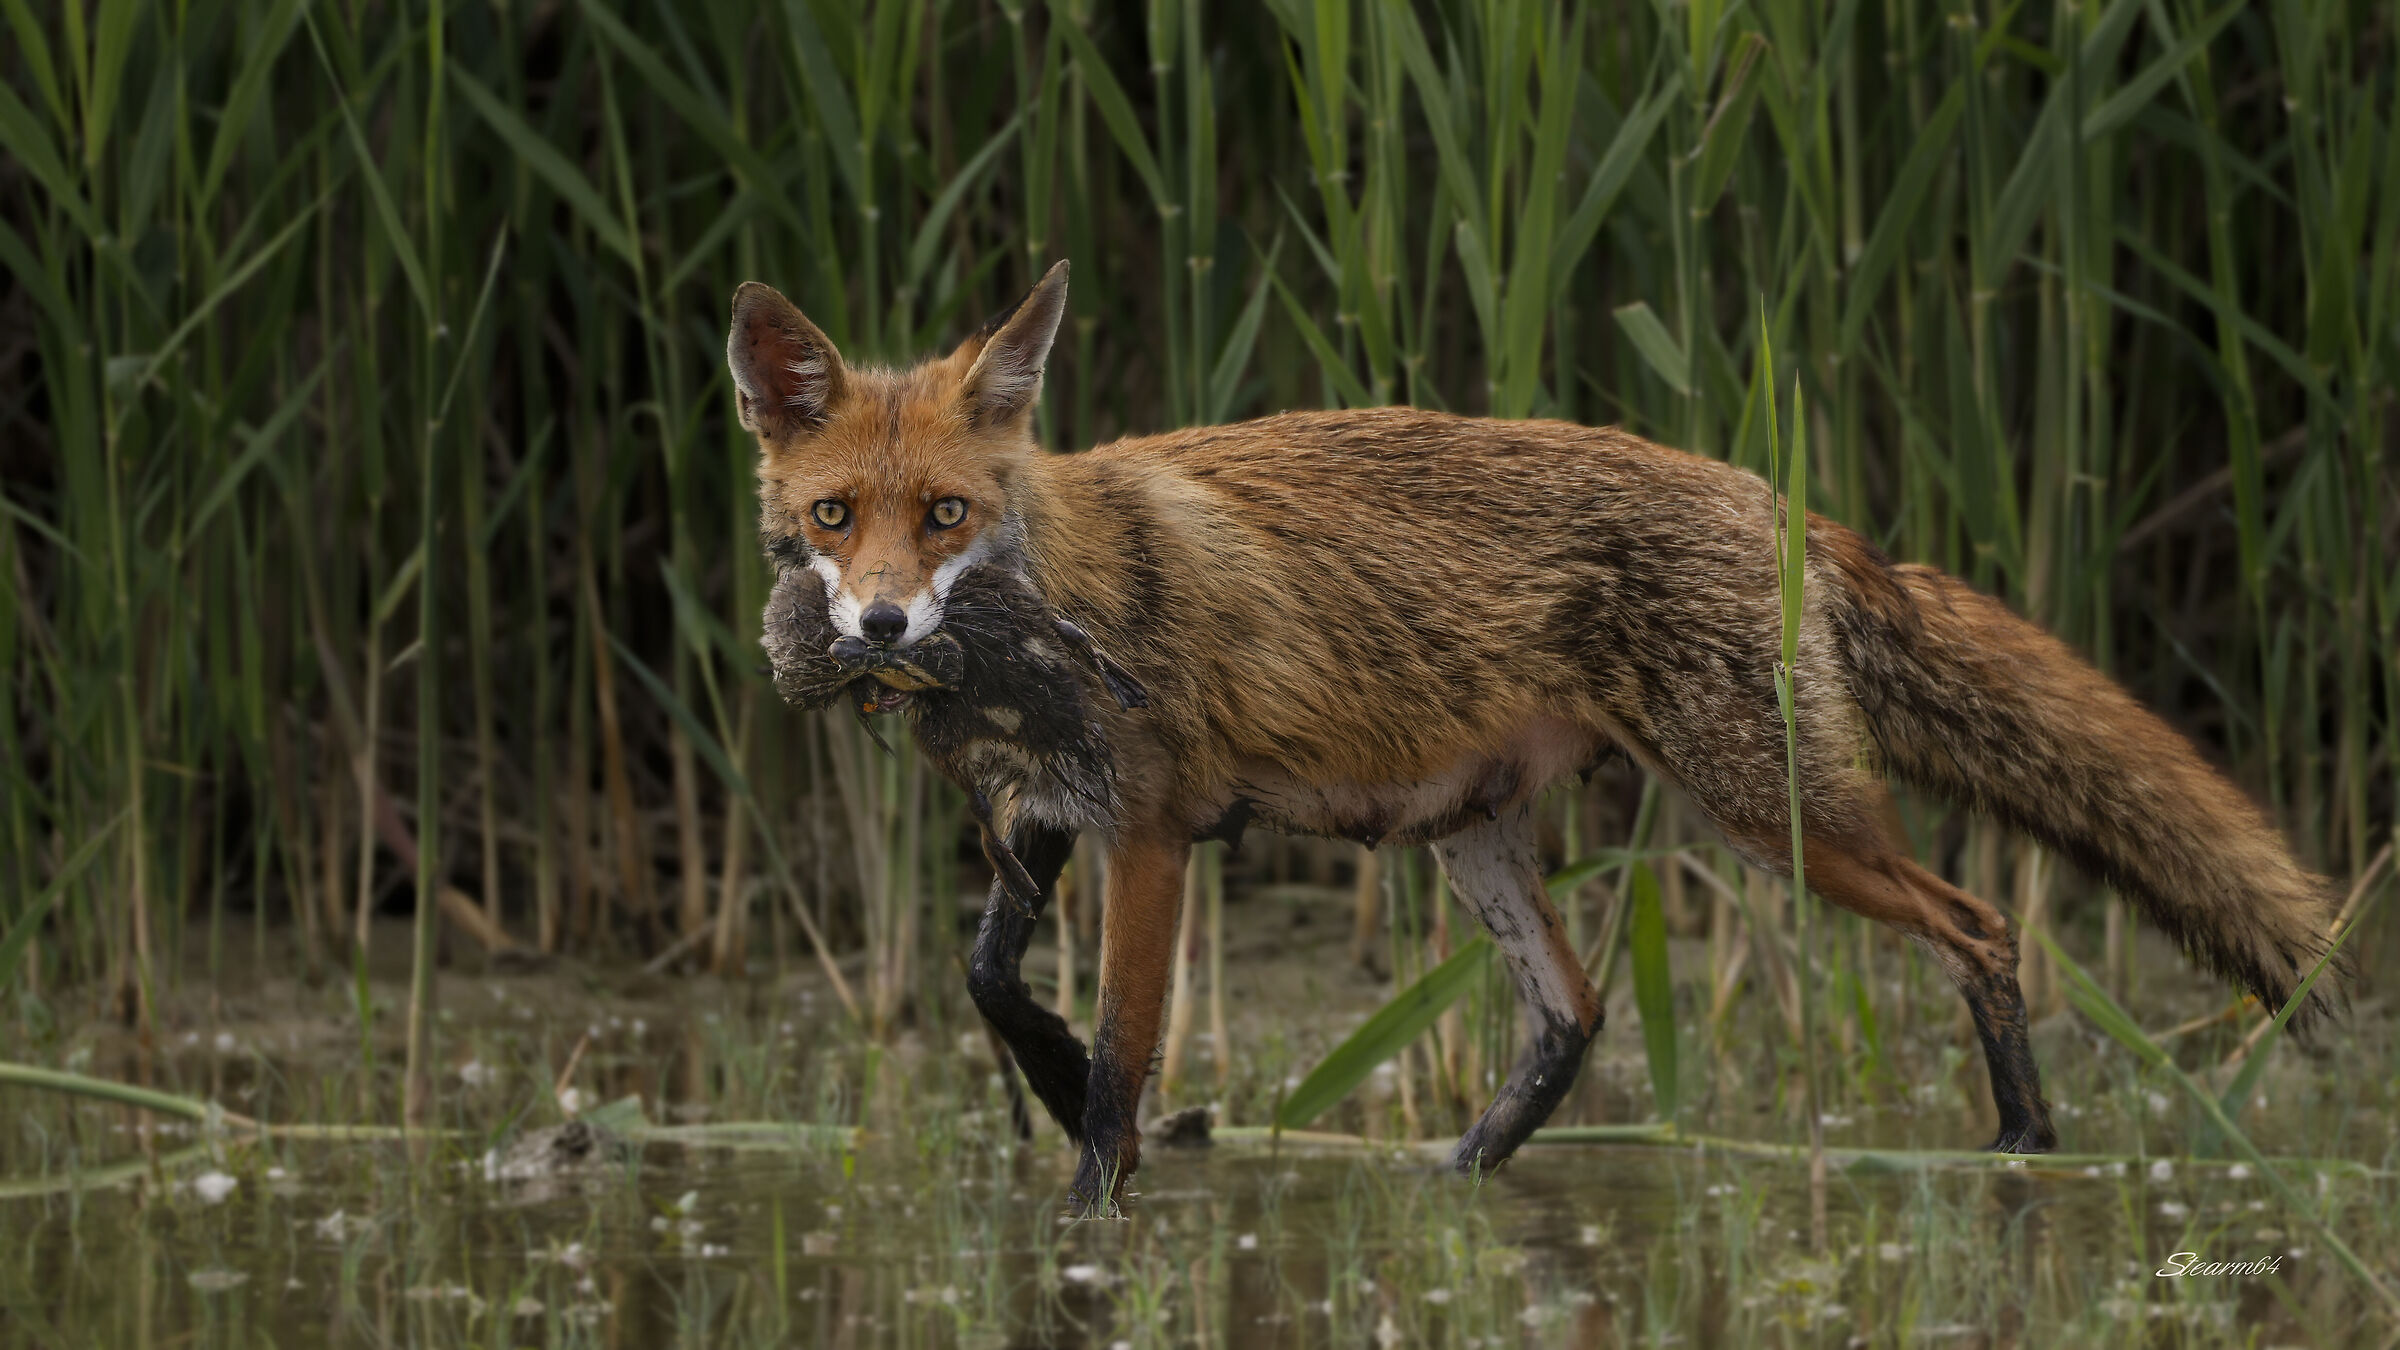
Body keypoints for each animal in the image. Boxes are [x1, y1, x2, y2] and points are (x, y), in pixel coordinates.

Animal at [727, 260, 2347, 1213]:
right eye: (833, 515)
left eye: (945, 512)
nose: (881, 628)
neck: (1056, 582)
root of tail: (1779, 498)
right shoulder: (1047, 813)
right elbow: (991, 979)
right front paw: (1058, 1085)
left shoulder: (1156, 829)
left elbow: (1129, 1045)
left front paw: (1093, 1200)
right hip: (1474, 832)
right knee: (1573, 1015)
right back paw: (1454, 1184)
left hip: (1776, 816)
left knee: (1977, 926)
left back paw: (2021, 1146)